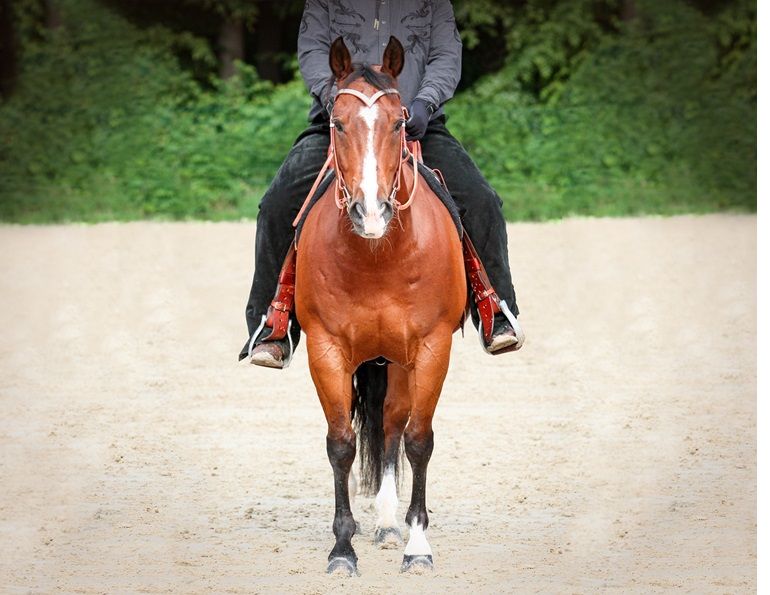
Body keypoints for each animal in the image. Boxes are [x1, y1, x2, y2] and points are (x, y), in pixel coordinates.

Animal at [294, 36, 466, 576]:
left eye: (398, 122)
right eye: (336, 122)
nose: (370, 212)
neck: (377, 255)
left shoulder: (431, 348)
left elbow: (418, 440)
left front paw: (418, 545)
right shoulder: (326, 349)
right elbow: (341, 444)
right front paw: (342, 549)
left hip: (400, 359)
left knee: (393, 423)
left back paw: (394, 525)